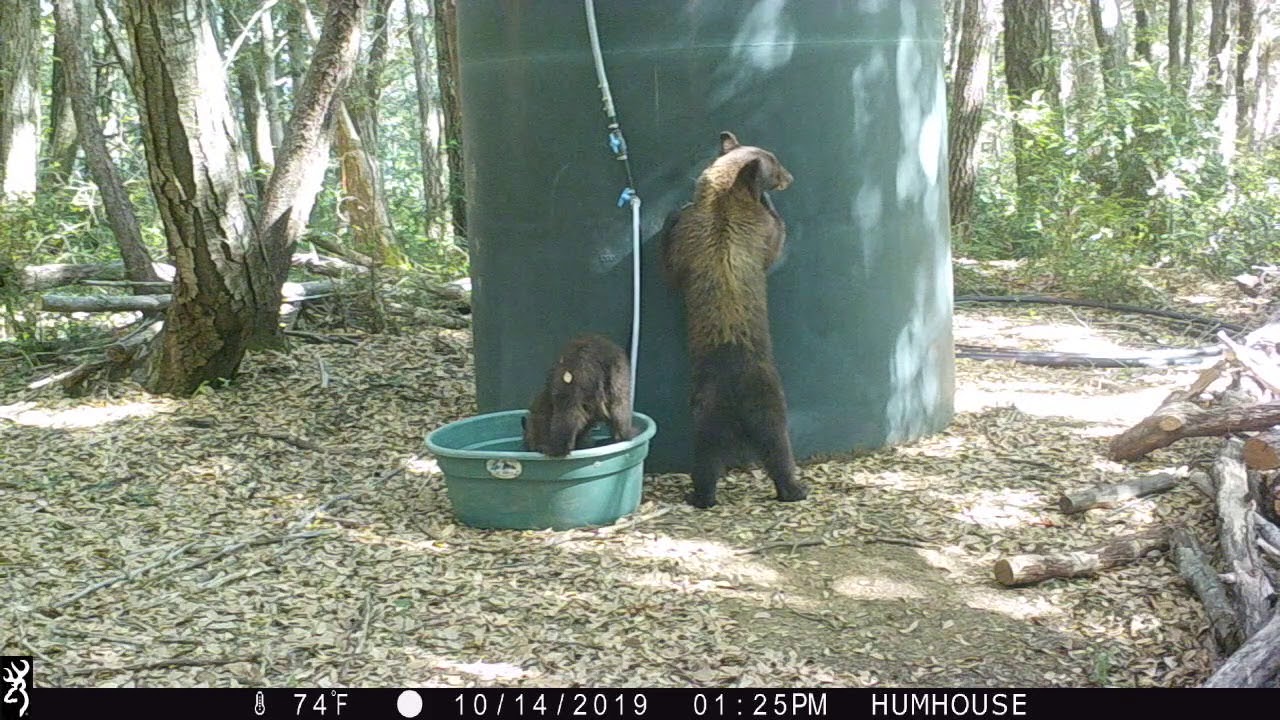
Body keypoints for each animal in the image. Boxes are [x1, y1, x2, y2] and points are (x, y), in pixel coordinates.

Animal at [659, 131, 807, 508]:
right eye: (776, 164)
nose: (791, 177)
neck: (723, 202)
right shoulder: (755, 233)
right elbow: (774, 239)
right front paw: (770, 203)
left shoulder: (695, 238)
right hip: (761, 403)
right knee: (776, 446)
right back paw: (793, 488)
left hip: (711, 415)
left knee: (711, 458)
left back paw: (704, 493)